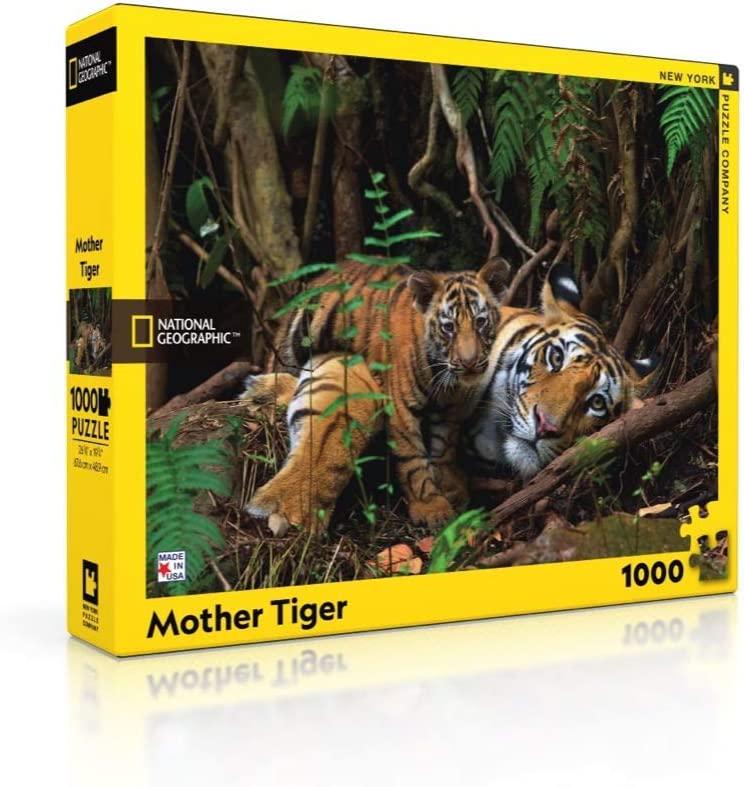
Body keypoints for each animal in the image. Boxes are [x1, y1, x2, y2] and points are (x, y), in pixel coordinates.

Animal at [242, 258, 510, 532]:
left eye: (481, 322)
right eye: (449, 328)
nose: (470, 362)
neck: (444, 378)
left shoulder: (449, 411)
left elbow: (443, 448)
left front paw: (451, 489)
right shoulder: (401, 408)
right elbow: (412, 459)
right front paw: (431, 508)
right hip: (295, 342)